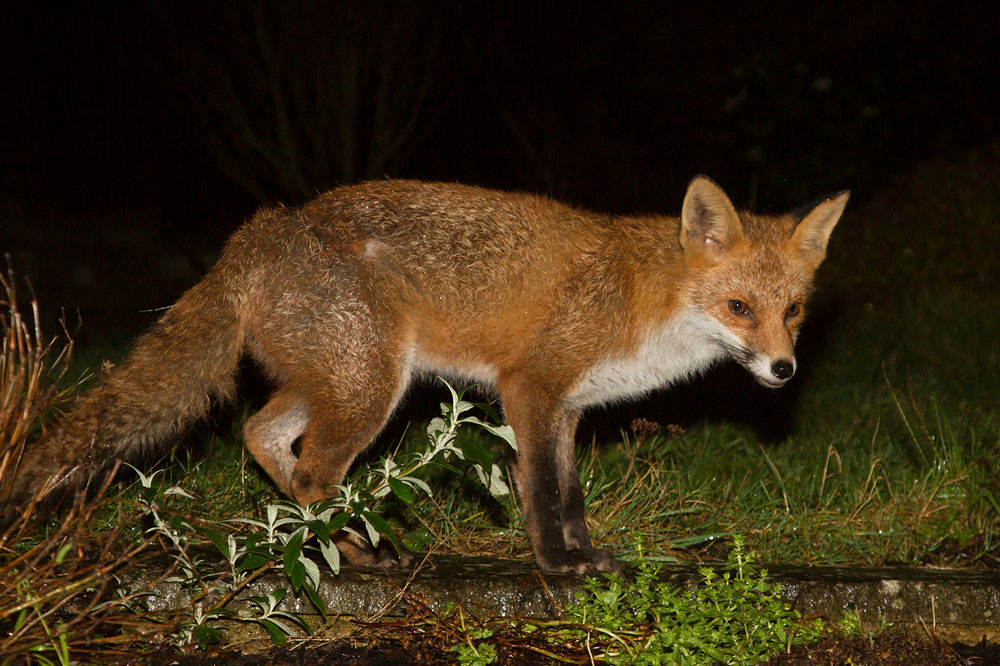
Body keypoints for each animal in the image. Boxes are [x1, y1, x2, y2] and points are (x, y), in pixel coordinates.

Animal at [0, 176, 847, 573]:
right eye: (739, 307)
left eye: (794, 310)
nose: (783, 368)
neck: (650, 303)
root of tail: (260, 231)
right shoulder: (529, 387)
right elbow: (541, 494)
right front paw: (556, 567)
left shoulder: (569, 405)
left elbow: (571, 494)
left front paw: (585, 554)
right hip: (371, 388)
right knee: (311, 471)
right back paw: (347, 552)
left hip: (335, 382)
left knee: (261, 434)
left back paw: (333, 546)